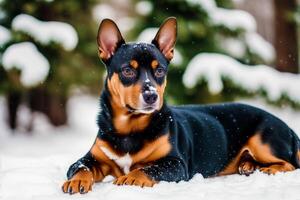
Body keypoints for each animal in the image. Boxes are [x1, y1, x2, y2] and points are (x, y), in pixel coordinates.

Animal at [61, 16, 300, 194]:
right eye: (128, 70)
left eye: (159, 71)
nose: (151, 96)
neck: (130, 128)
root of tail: (288, 128)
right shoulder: (92, 158)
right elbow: (80, 167)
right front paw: (77, 180)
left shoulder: (176, 164)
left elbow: (149, 169)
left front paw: (132, 178)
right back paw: (248, 166)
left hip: (263, 142)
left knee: (289, 164)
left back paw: (267, 170)